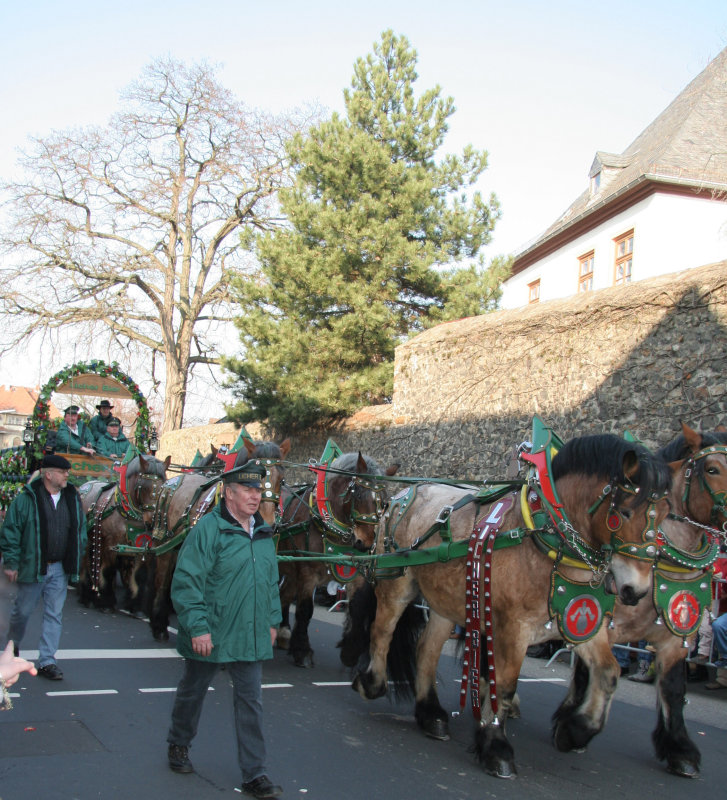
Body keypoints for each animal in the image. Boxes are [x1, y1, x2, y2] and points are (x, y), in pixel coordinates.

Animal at [77, 454, 172, 616]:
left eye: (162, 486)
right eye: (143, 487)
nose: (152, 521)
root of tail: (85, 485)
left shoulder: (141, 548)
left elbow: (139, 575)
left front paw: (135, 606)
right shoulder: (111, 544)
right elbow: (108, 571)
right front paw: (106, 603)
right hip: (88, 541)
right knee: (86, 564)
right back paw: (87, 596)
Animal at [276, 450, 398, 668]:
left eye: (384, 502)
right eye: (357, 494)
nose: (365, 544)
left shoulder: (356, 572)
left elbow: (357, 605)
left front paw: (350, 651)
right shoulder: (307, 573)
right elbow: (305, 610)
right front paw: (302, 651)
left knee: (284, 594)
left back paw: (282, 633)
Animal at [344, 428, 672, 780]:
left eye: (666, 518)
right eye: (623, 513)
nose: (636, 590)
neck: (544, 537)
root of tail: (402, 494)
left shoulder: (579, 621)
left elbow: (609, 672)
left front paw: (576, 730)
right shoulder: (513, 629)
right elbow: (504, 686)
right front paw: (496, 747)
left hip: (448, 601)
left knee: (427, 650)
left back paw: (430, 713)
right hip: (398, 584)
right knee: (382, 631)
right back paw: (371, 683)